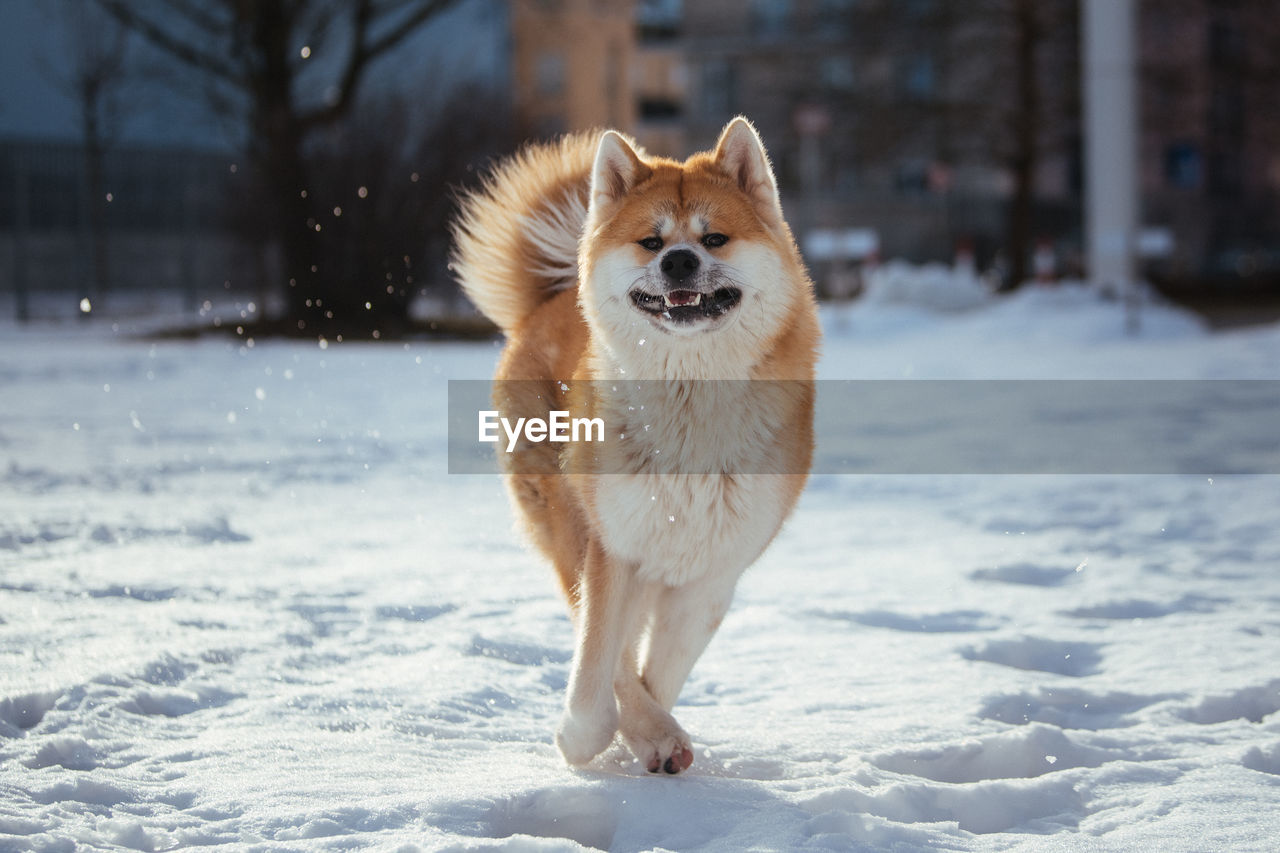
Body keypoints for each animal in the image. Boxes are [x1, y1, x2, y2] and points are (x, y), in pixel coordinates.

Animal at [450, 116, 819, 773]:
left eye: (715, 238)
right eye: (650, 242)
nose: (679, 261)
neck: (690, 401)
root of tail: (550, 300)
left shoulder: (710, 573)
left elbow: (658, 673)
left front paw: (652, 735)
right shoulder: (614, 546)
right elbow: (602, 660)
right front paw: (595, 737)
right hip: (564, 517)